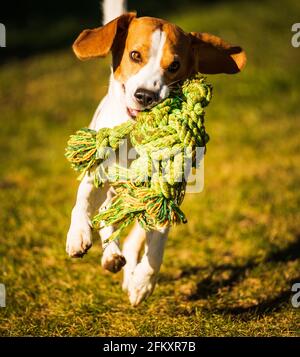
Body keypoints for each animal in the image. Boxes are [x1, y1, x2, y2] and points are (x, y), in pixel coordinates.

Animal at [67, 0, 247, 306]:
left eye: (174, 65)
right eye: (135, 55)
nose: (144, 96)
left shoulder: (165, 193)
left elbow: (157, 243)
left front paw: (142, 281)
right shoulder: (98, 174)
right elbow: (83, 201)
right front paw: (78, 234)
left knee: (132, 234)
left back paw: (124, 264)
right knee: (105, 215)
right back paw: (111, 254)